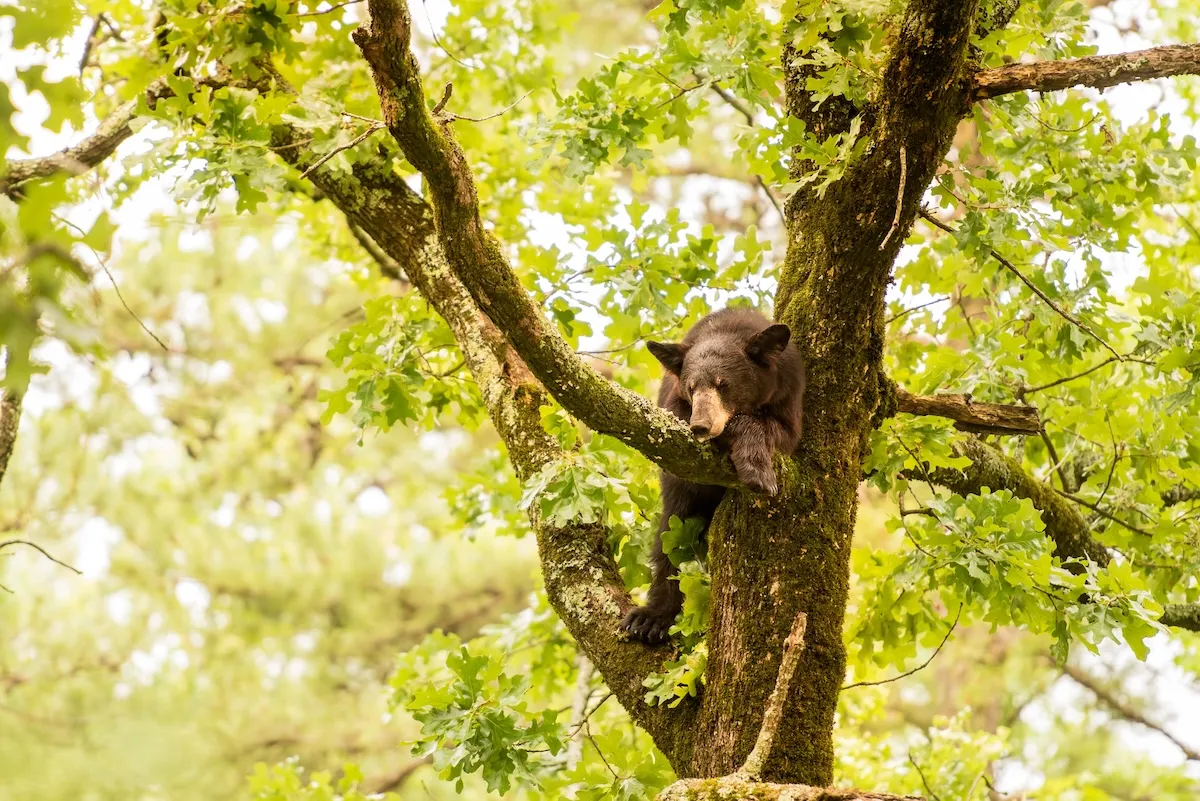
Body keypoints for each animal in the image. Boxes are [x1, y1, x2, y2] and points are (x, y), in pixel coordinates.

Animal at [620, 307, 806, 644]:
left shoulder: (789, 393)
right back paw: (650, 619)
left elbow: (776, 431)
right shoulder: (674, 402)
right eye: (692, 387)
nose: (701, 426)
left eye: (723, 384)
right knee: (671, 538)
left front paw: (757, 472)